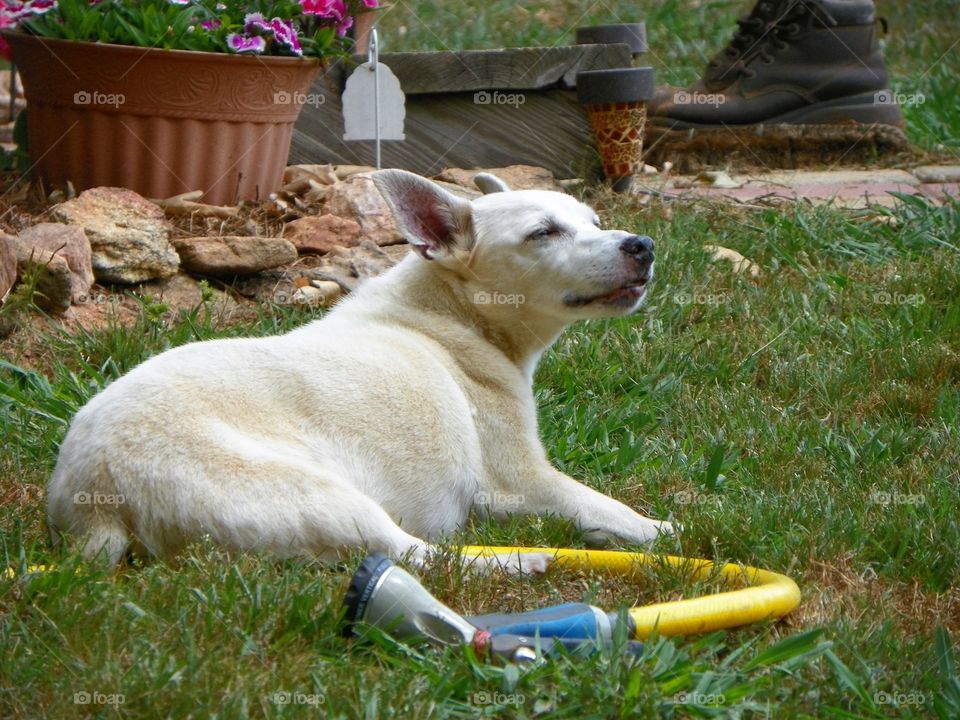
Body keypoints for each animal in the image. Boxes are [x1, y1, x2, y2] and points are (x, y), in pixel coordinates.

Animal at [47, 172, 676, 572]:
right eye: (543, 233)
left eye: (594, 221)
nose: (642, 244)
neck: (451, 312)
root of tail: (96, 499)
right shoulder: (523, 480)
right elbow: (599, 502)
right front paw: (656, 530)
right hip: (321, 499)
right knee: (420, 557)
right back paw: (521, 561)